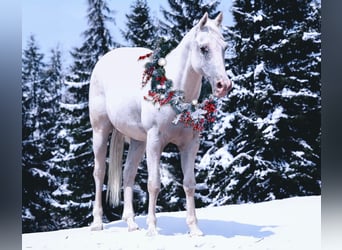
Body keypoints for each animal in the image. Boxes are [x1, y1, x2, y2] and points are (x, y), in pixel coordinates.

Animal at [88, 12, 232, 236]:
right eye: (203, 48)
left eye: (224, 47)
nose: (223, 85)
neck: (174, 93)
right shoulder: (155, 142)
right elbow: (154, 184)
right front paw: (152, 229)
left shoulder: (190, 145)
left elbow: (189, 184)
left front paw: (194, 229)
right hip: (101, 131)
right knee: (99, 172)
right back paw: (97, 223)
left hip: (138, 141)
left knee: (128, 174)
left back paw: (131, 223)